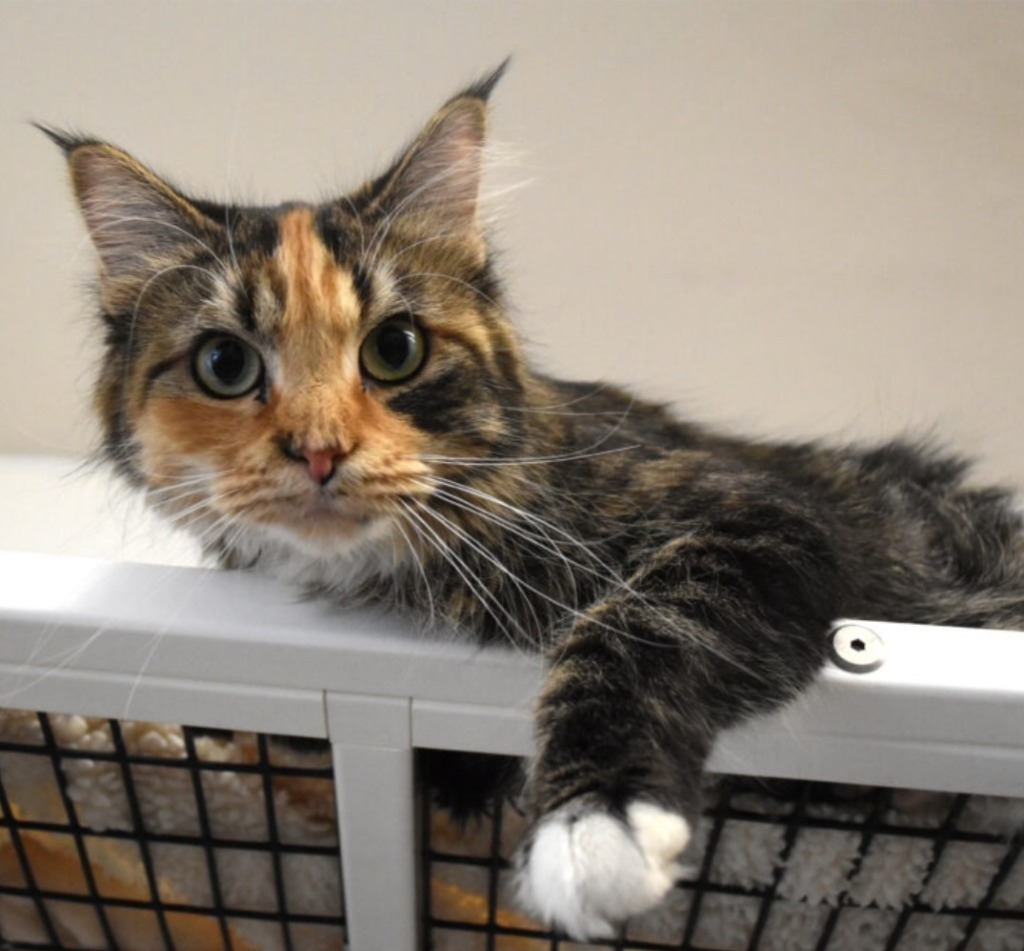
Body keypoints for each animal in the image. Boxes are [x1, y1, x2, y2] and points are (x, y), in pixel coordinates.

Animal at [44, 62, 1024, 937]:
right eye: (225, 363)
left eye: (394, 349)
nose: (320, 450)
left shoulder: (761, 518)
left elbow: (636, 629)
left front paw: (596, 825)